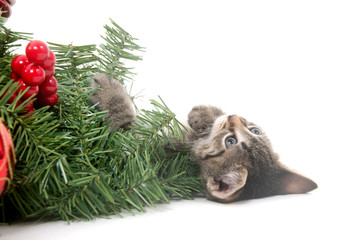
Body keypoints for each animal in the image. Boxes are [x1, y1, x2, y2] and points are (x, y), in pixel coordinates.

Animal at [91, 74, 318, 202]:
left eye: (230, 142)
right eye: (255, 131)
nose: (235, 117)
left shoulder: (139, 149)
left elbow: (123, 126)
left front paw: (107, 90)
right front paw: (205, 115)